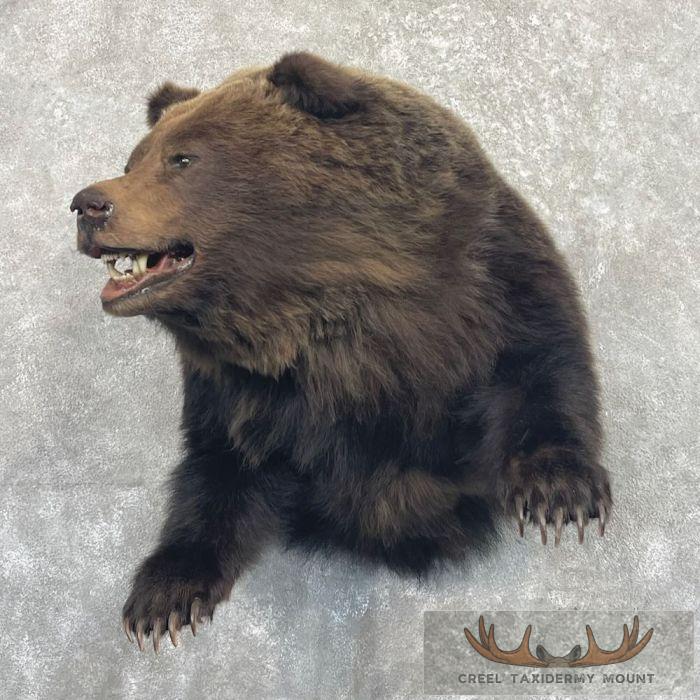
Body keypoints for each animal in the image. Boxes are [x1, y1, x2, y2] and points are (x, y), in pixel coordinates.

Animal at [70, 52, 612, 652]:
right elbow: (216, 469)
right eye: (134, 160)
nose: (87, 204)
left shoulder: (496, 282)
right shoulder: (234, 389)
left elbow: (542, 364)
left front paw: (558, 493)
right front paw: (162, 598)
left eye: (182, 158)